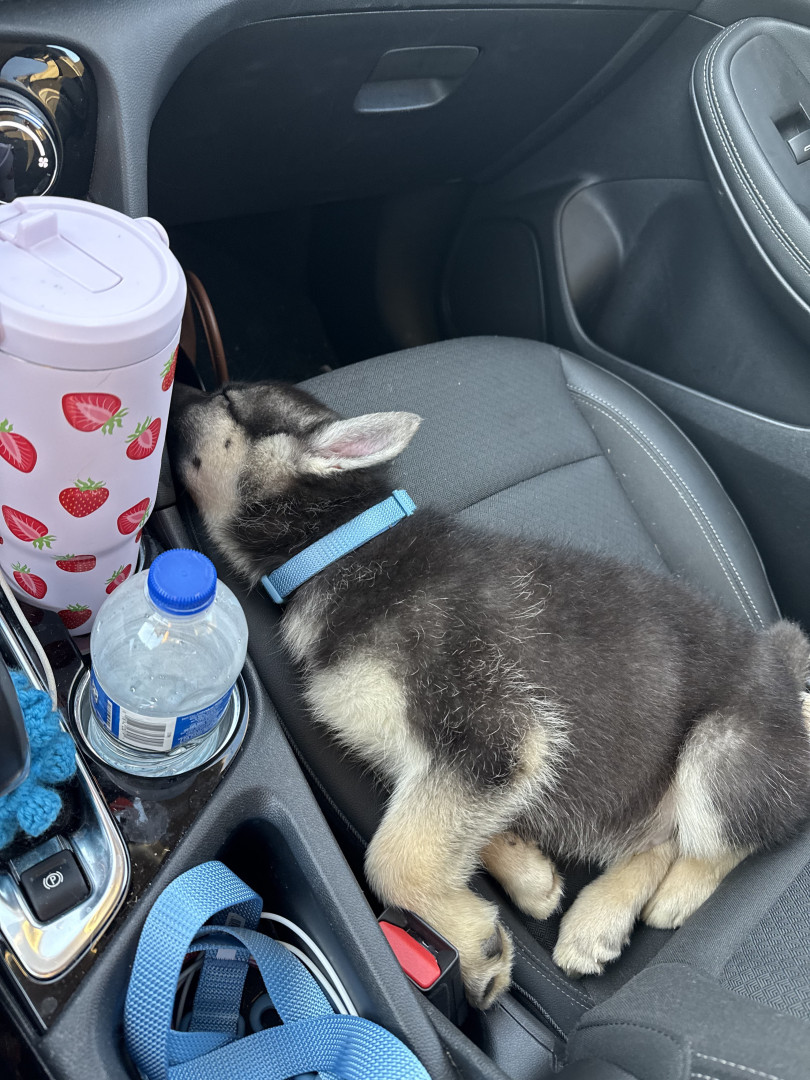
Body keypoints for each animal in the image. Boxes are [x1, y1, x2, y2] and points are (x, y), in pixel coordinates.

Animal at [169, 379, 810, 1009]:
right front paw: (528, 874)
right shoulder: (456, 759)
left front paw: (472, 944)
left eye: (226, 400)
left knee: (737, 833)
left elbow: (394, 856)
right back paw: (597, 922)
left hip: (720, 748)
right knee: (658, 836)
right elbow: (450, 829)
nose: (173, 394)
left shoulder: (496, 730)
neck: (340, 546)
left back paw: (676, 893)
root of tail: (781, 666)